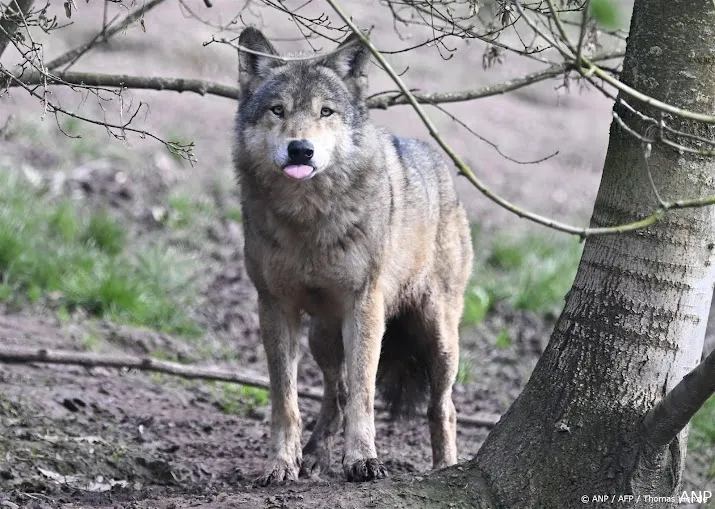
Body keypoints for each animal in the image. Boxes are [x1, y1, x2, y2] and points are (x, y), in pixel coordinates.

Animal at [232, 24, 472, 484]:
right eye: (277, 110)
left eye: (326, 112)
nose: (300, 149)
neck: (308, 219)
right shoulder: (274, 306)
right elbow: (286, 401)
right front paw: (281, 464)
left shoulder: (365, 306)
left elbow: (364, 393)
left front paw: (363, 460)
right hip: (321, 335)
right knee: (335, 391)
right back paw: (315, 456)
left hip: (439, 338)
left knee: (442, 407)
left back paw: (444, 468)